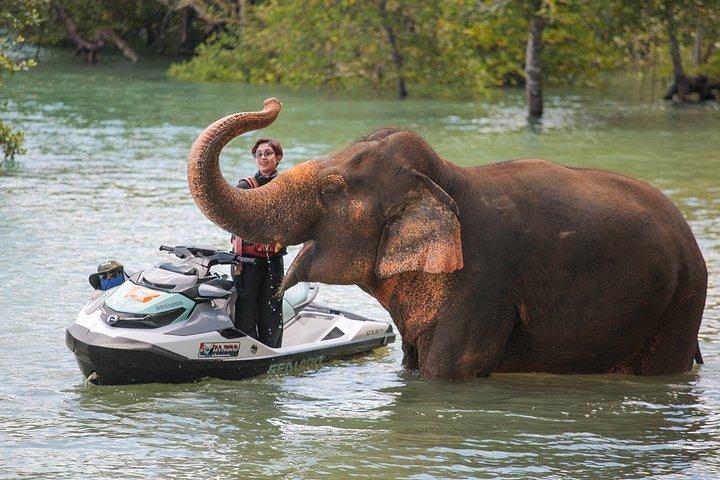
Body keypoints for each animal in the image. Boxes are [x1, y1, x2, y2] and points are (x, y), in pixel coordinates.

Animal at [187, 98, 707, 381]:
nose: (273, 104)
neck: (445, 178)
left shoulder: (485, 284)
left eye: (333, 189)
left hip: (683, 298)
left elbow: (450, 370)